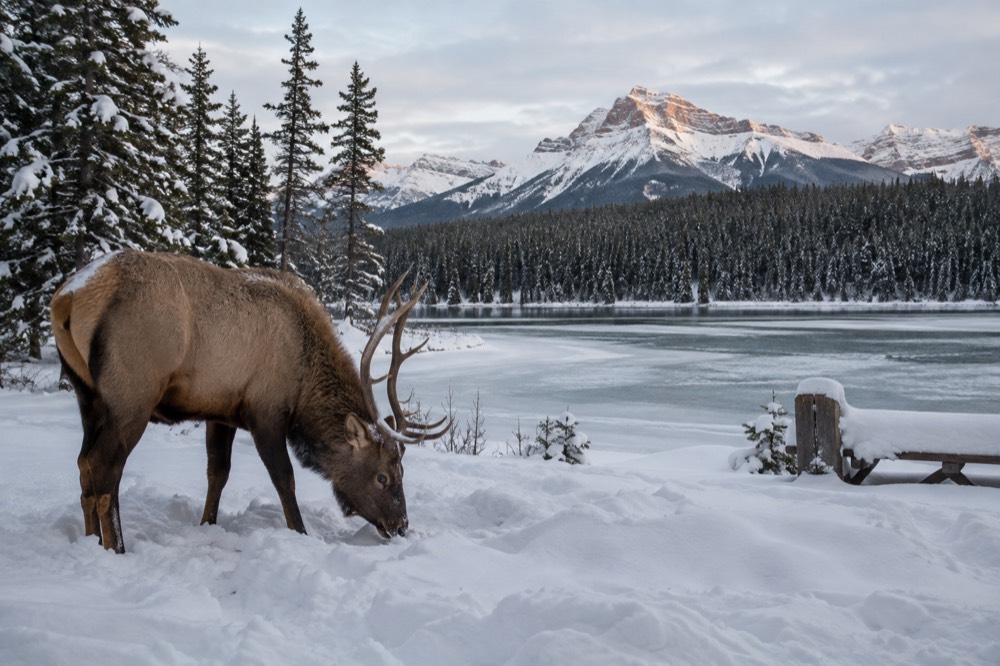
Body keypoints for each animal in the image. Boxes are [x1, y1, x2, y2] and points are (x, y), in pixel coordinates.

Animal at [50, 250, 449, 553]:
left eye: (403, 472)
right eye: (383, 477)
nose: (401, 525)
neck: (305, 380)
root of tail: (66, 298)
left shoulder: (219, 411)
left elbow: (218, 473)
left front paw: (207, 524)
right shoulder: (266, 410)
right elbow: (284, 478)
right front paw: (300, 532)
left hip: (88, 396)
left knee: (84, 463)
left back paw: (90, 540)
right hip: (132, 394)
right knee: (105, 466)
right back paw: (116, 548)